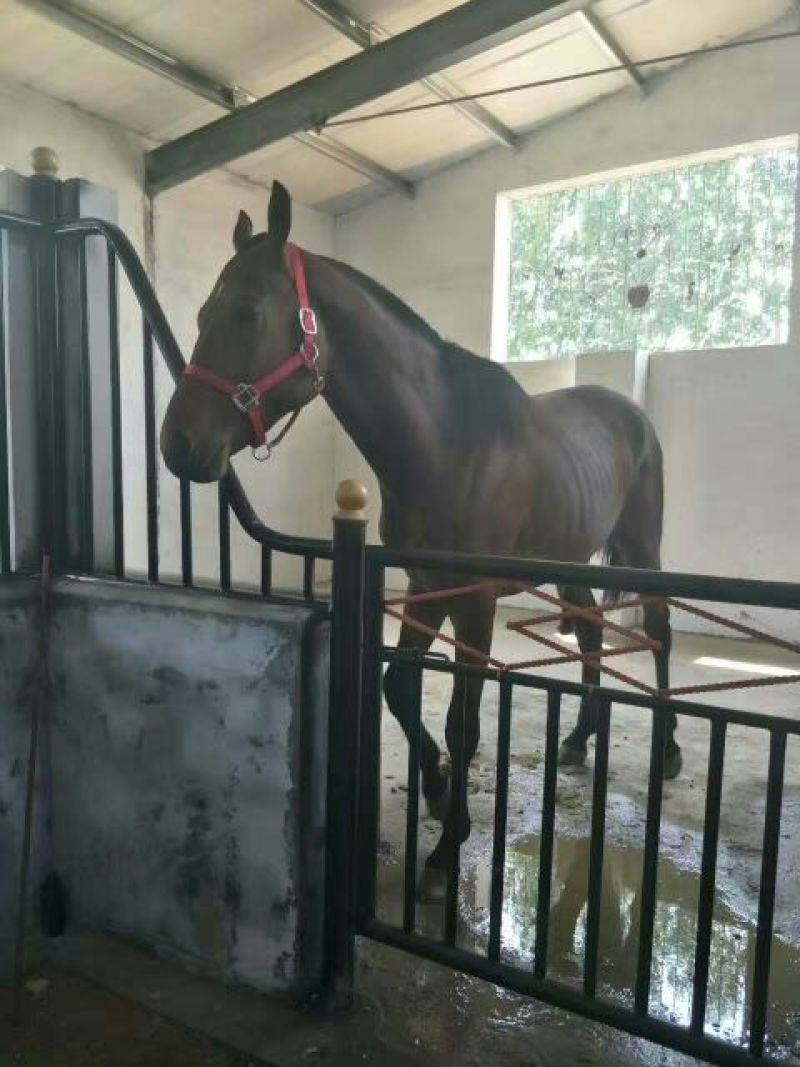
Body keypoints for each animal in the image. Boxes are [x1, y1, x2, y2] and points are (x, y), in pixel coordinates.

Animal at [160, 181, 678, 900]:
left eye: (247, 312)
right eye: (204, 310)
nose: (178, 446)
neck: (446, 443)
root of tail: (633, 414)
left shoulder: (476, 602)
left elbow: (464, 721)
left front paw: (445, 848)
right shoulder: (423, 587)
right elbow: (398, 687)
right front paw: (435, 786)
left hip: (642, 549)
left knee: (657, 630)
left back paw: (670, 750)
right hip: (571, 561)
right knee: (593, 632)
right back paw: (578, 736)